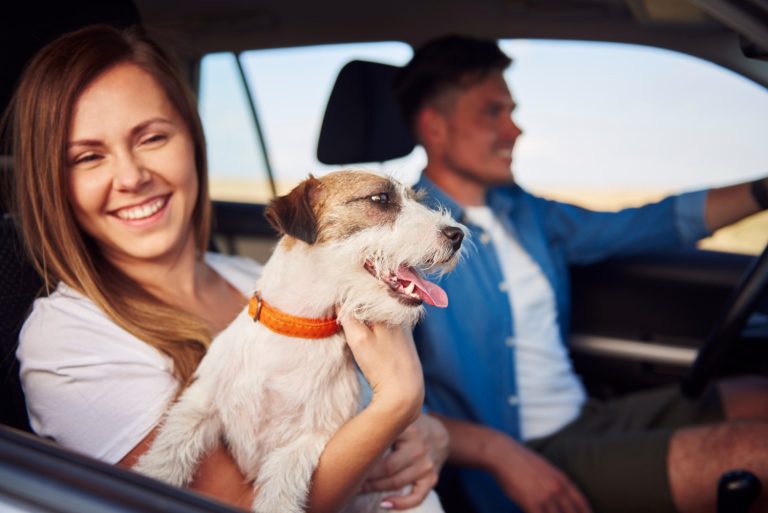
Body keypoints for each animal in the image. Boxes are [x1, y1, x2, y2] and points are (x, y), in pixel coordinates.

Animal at [135, 171, 464, 512]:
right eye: (380, 199)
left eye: (415, 198)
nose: (458, 234)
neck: (297, 330)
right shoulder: (200, 403)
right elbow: (171, 448)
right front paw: (154, 475)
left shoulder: (305, 442)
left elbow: (280, 492)